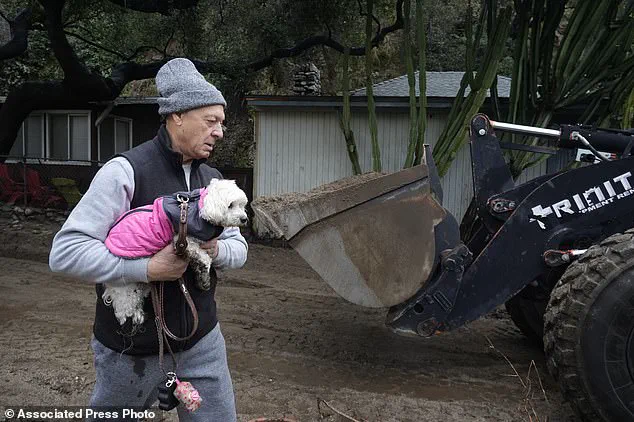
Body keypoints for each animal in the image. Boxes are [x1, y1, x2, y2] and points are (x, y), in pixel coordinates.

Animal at [101, 178, 247, 326]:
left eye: (242, 205)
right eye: (230, 205)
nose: (244, 219)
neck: (200, 208)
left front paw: (203, 279)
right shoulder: (182, 240)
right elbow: (204, 257)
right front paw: (204, 267)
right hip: (126, 286)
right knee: (124, 306)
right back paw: (133, 316)